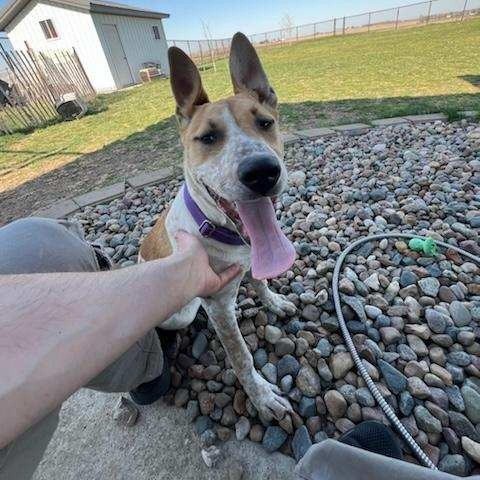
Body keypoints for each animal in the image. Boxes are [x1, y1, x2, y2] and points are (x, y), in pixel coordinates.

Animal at [139, 32, 296, 420]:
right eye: (207, 138)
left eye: (265, 123)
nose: (261, 172)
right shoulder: (219, 307)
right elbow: (241, 357)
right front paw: (262, 397)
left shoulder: (252, 263)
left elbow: (261, 281)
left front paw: (274, 302)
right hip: (180, 313)